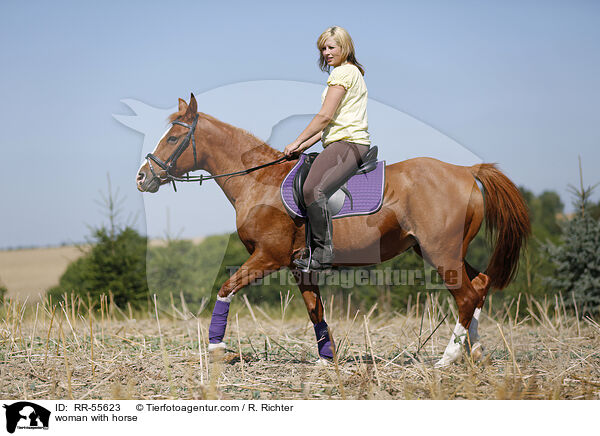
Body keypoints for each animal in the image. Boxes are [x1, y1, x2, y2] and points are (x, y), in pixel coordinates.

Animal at [137, 95, 528, 368]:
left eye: (173, 138)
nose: (142, 177)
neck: (259, 181)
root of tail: (465, 170)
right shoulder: (299, 267)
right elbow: (316, 311)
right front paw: (327, 359)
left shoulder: (268, 257)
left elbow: (226, 288)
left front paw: (217, 347)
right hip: (446, 252)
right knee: (479, 286)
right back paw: (475, 352)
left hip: (440, 253)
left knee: (466, 296)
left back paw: (447, 359)